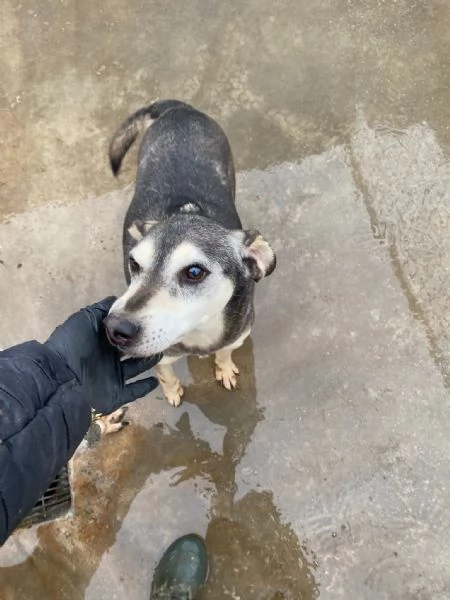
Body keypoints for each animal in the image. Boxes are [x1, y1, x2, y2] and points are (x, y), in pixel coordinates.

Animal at [103, 99, 276, 408]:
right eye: (134, 264)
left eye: (194, 272)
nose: (115, 328)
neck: (199, 330)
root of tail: (178, 108)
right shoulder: (160, 358)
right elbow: (165, 375)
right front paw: (173, 391)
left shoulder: (236, 337)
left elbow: (224, 352)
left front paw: (224, 368)